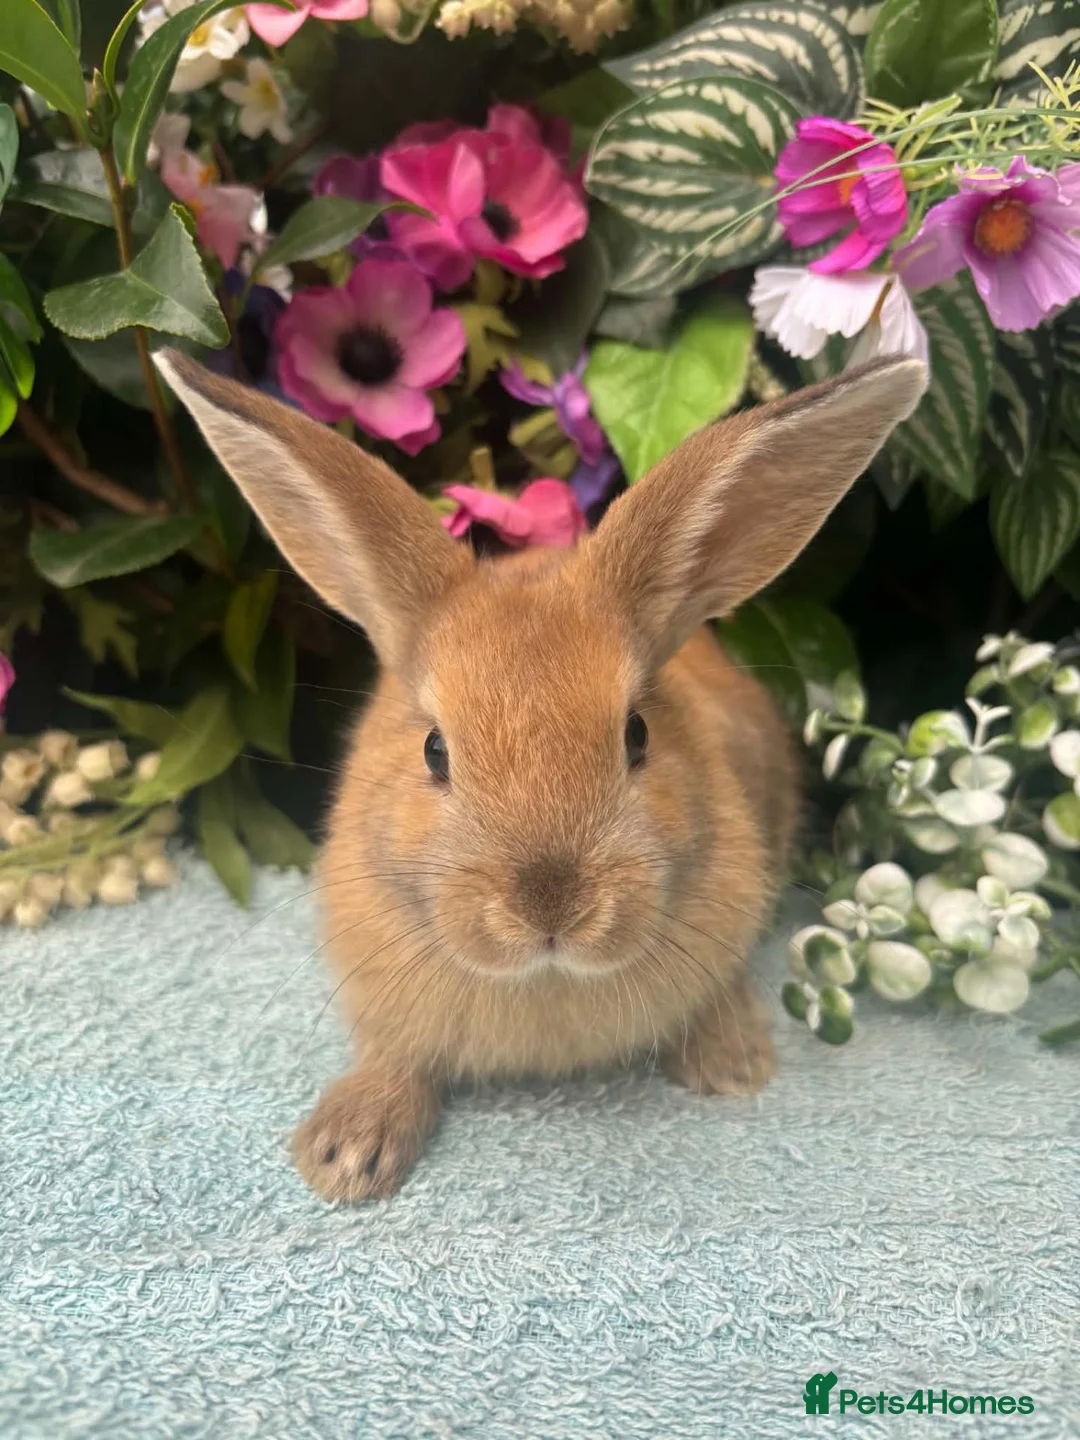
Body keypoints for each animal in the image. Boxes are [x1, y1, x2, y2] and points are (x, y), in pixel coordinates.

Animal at [157, 348, 926, 1203]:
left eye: (636, 734)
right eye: (435, 751)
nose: (550, 904)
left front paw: (735, 1067)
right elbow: (392, 1056)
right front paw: (344, 1156)